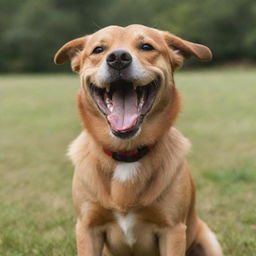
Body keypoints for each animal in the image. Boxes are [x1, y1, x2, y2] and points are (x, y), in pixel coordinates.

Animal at [55, 24, 223, 256]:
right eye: (98, 50)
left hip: (208, 241)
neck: (127, 152)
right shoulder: (88, 227)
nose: (118, 58)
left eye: (146, 46)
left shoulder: (172, 229)